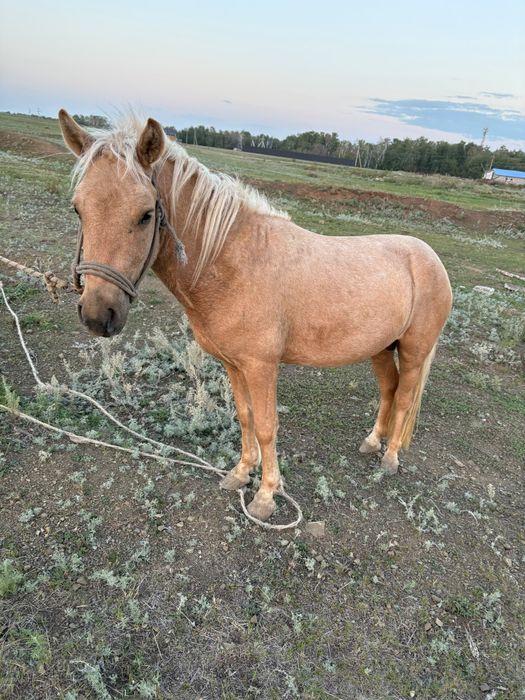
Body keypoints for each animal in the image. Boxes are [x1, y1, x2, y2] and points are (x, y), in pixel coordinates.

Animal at [58, 110, 453, 522]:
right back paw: (373, 442)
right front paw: (241, 473)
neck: (231, 262)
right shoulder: (234, 364)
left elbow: (266, 426)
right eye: (78, 208)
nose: (97, 313)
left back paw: (389, 458)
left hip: (413, 351)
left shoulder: (262, 366)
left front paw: (265, 495)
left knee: (404, 397)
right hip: (380, 348)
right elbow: (245, 417)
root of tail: (430, 258)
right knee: (389, 390)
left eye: (146, 214)